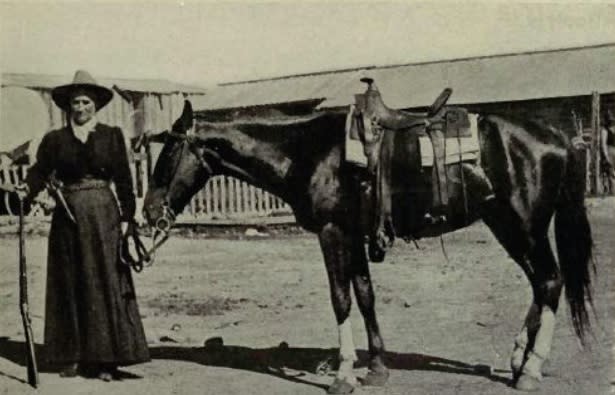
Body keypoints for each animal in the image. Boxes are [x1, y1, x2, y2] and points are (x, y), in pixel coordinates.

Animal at [142, 85, 596, 394]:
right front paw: (377, 367)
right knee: (541, 284)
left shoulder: (332, 233)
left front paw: (344, 373)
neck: (307, 151)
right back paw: (518, 357)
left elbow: (341, 298)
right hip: (505, 224)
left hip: (524, 225)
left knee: (550, 280)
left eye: (168, 155)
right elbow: (365, 295)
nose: (148, 214)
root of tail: (560, 138)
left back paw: (531, 369)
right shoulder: (355, 235)